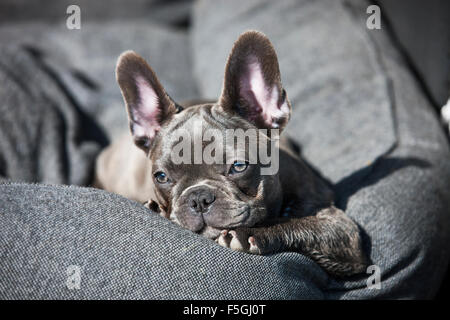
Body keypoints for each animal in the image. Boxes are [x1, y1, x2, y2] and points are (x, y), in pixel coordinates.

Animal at [95, 30, 366, 276]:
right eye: (161, 177)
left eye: (238, 166)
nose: (199, 198)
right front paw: (154, 208)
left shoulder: (342, 231)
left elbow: (302, 223)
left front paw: (250, 234)